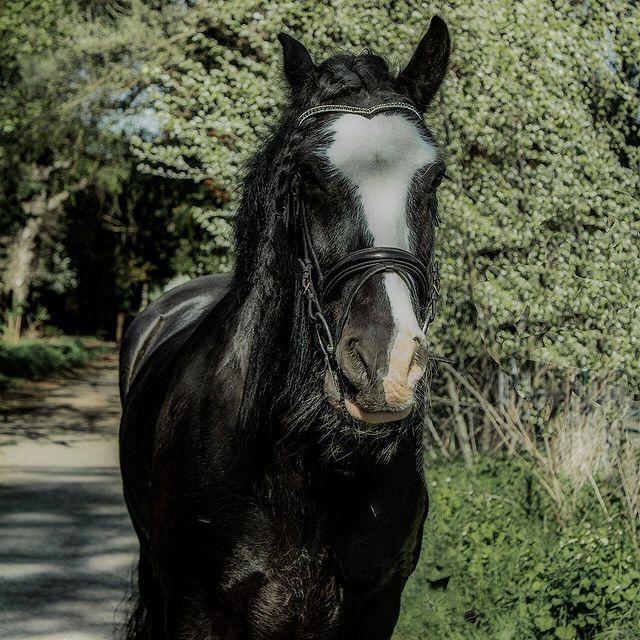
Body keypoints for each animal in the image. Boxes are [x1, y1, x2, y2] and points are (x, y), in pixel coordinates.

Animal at [119, 16, 450, 639]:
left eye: (435, 179)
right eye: (309, 178)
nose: (386, 366)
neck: (303, 466)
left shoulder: (377, 609)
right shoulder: (195, 612)